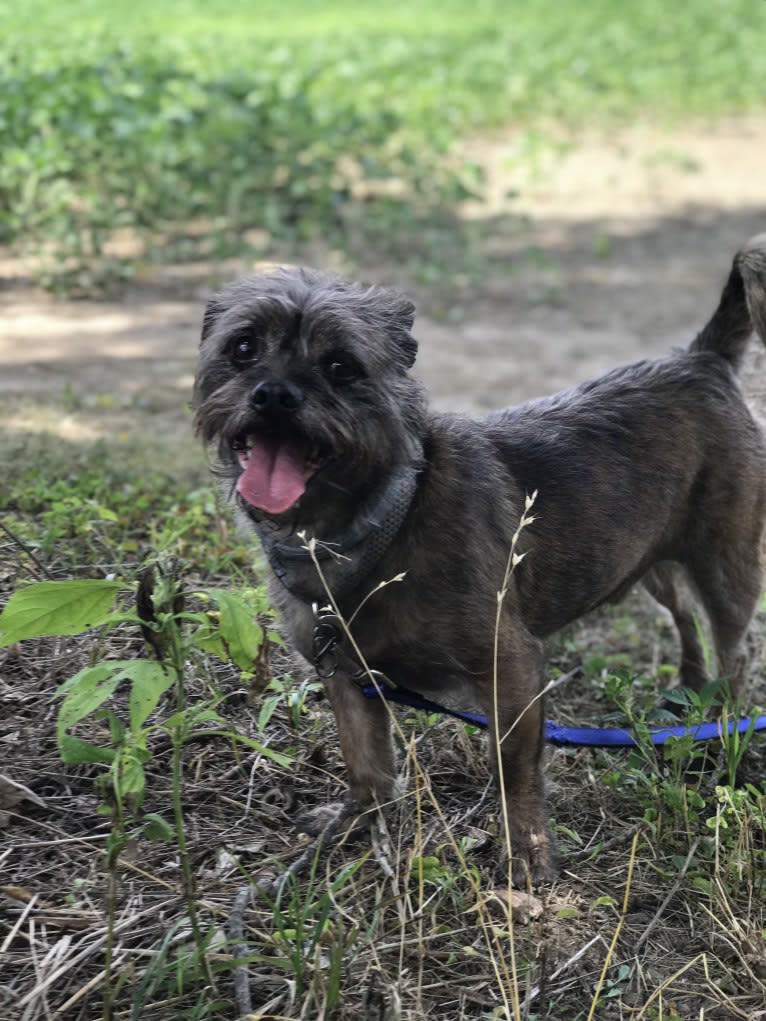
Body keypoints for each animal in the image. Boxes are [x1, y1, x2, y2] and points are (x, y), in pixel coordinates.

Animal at [195, 234, 766, 882]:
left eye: (340, 365)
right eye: (243, 348)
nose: (273, 393)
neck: (381, 520)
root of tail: (701, 359)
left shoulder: (510, 668)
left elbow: (511, 769)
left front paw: (527, 851)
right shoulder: (345, 675)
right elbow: (365, 764)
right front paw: (353, 823)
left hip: (726, 563)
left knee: (736, 648)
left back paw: (724, 725)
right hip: (650, 562)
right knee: (684, 620)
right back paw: (690, 695)